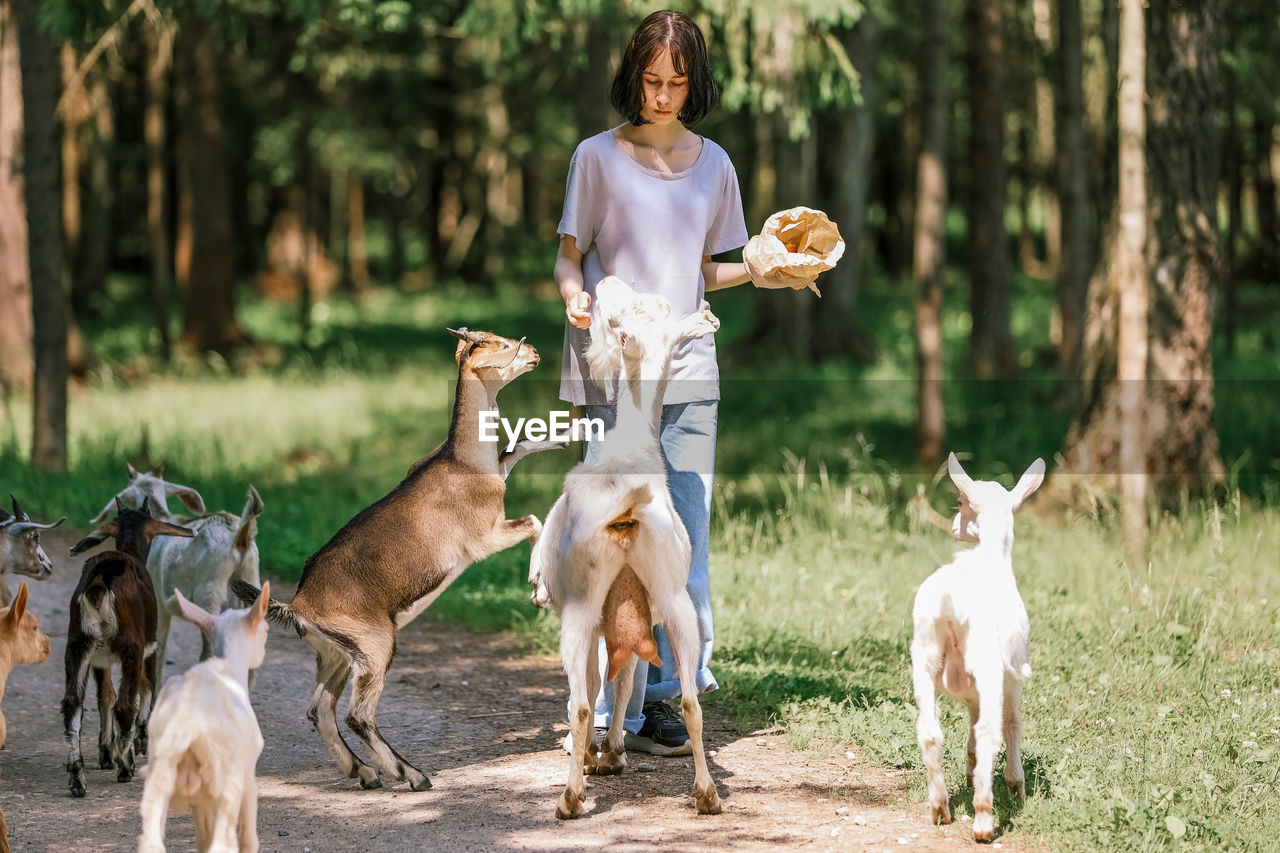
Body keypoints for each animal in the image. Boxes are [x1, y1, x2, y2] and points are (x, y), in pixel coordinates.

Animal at [64, 494, 193, 794]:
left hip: (78, 642)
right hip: (130, 645)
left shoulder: (100, 659)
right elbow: (147, 687)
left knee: (72, 703)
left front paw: (105, 753)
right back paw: (126, 765)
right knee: (126, 704)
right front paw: (139, 742)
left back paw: (77, 778)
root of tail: (101, 577)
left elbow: (105, 696)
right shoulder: (149, 645)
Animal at [529, 275, 727, 814]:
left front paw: (603, 755)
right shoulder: (638, 614)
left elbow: (605, 683)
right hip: (674, 599)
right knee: (690, 698)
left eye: (619, 316)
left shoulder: (595, 615)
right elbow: (625, 679)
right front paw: (614, 752)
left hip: (580, 606)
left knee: (580, 702)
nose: (606, 282)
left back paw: (570, 797)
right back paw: (706, 794)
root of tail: (627, 508)